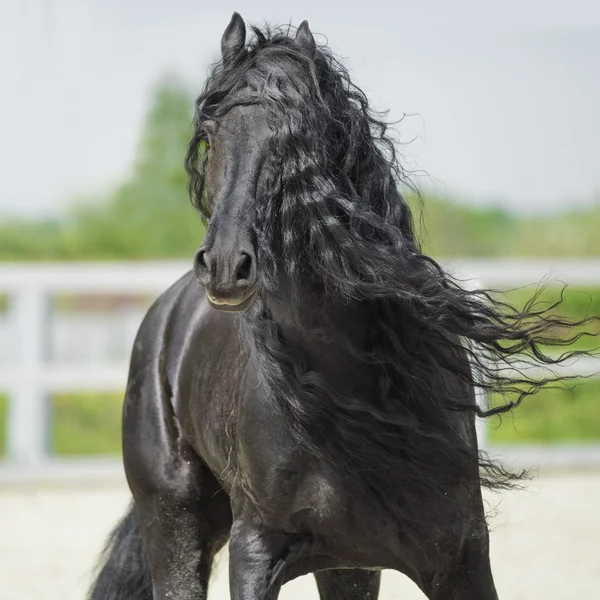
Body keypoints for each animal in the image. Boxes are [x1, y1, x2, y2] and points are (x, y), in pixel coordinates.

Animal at [89, 12, 592, 600]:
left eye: (295, 138)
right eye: (211, 136)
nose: (225, 266)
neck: (350, 384)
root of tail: (166, 314)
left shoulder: (461, 556)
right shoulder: (253, 550)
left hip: (346, 564)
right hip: (175, 523)